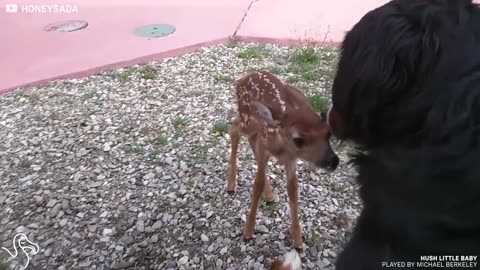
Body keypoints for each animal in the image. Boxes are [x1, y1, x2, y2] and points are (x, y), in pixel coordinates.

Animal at [228, 70, 338, 249]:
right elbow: (257, 184)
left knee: (248, 136)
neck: (281, 148)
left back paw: (269, 194)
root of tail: (242, 78)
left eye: (328, 134)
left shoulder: (291, 159)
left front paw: (297, 239)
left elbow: (293, 189)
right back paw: (231, 184)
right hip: (246, 118)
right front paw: (248, 231)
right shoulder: (265, 147)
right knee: (234, 128)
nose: (334, 161)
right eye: (298, 139)